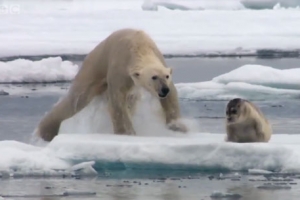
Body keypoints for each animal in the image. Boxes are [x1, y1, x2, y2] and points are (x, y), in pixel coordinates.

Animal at [36, 28, 189, 142]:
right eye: (154, 77)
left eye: (166, 76)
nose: (164, 90)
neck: (139, 46)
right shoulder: (120, 67)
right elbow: (117, 101)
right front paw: (127, 133)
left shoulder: (159, 58)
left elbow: (171, 98)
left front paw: (178, 127)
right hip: (94, 67)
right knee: (76, 100)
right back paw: (46, 131)